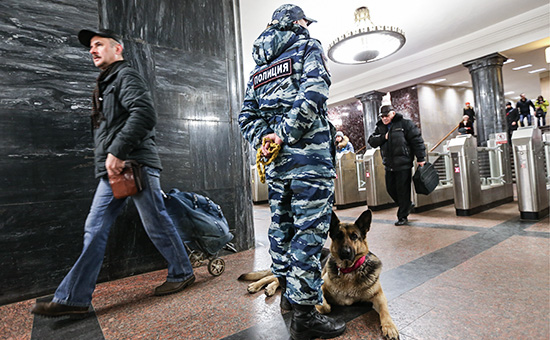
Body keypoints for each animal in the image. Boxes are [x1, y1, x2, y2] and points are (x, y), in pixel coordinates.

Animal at [239, 210, 398, 340]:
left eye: (354, 236)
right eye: (338, 236)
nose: (346, 253)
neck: (348, 271)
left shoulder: (379, 296)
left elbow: (385, 311)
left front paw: (390, 327)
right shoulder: (319, 287)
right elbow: (327, 307)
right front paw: (317, 308)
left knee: (277, 281)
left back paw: (270, 289)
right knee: (271, 277)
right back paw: (256, 286)